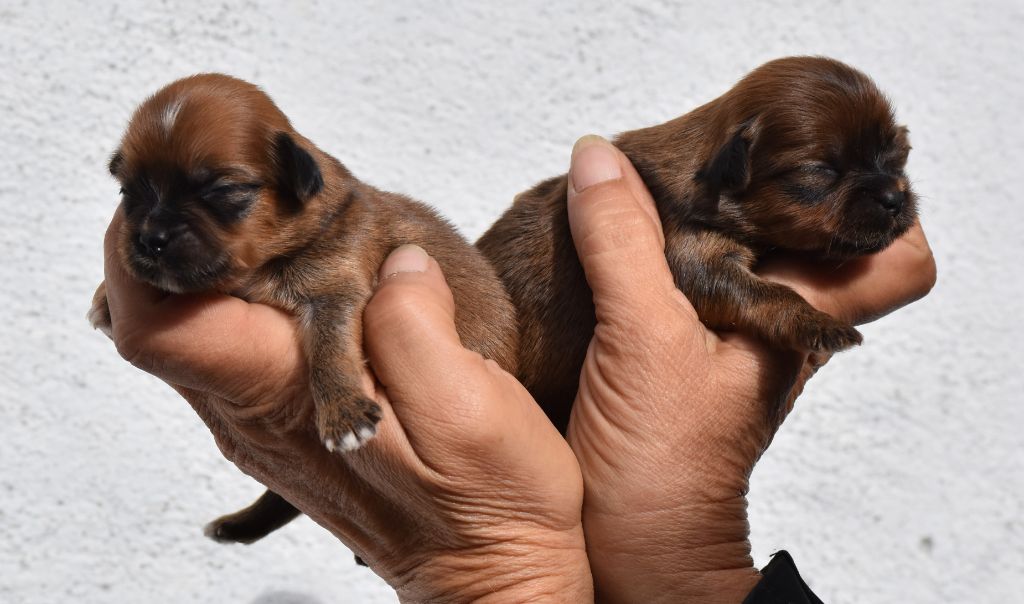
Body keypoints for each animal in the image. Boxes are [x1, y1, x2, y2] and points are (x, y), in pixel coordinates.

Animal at [89, 74, 516, 548]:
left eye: (222, 192)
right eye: (128, 193)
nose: (151, 239)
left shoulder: (336, 289)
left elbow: (329, 349)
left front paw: (343, 413)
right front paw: (105, 298)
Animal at [479, 56, 921, 434]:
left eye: (898, 154)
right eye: (821, 170)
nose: (895, 198)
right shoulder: (690, 253)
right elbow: (764, 293)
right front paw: (816, 323)